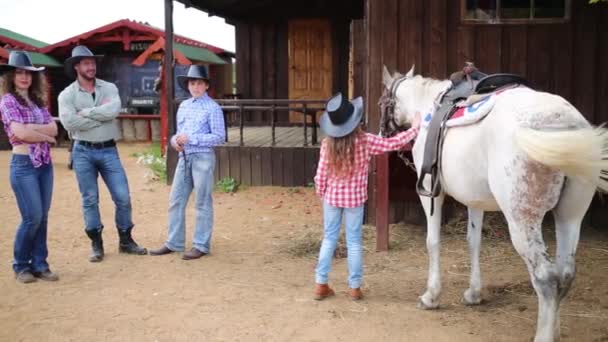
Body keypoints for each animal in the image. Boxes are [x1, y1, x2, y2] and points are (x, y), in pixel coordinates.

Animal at [382, 65, 604, 342]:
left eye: (382, 101)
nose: (382, 132)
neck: (427, 106)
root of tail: (562, 124)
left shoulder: (431, 193)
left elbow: (433, 242)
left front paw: (430, 296)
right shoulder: (474, 200)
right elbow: (473, 242)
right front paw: (473, 294)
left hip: (522, 220)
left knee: (546, 277)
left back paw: (544, 334)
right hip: (570, 217)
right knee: (565, 273)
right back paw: (555, 329)